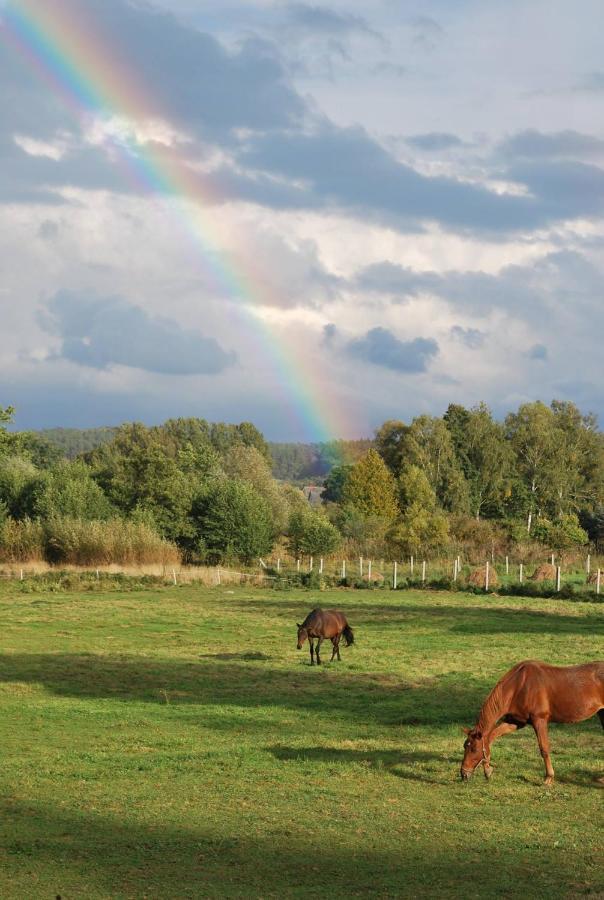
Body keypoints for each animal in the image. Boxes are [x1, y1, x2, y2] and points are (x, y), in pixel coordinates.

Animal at [460, 656, 600, 784]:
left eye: (473, 749)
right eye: (464, 746)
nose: (463, 774)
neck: (519, 685)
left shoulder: (539, 720)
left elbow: (544, 749)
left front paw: (549, 777)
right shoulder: (516, 722)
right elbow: (491, 738)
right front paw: (487, 770)